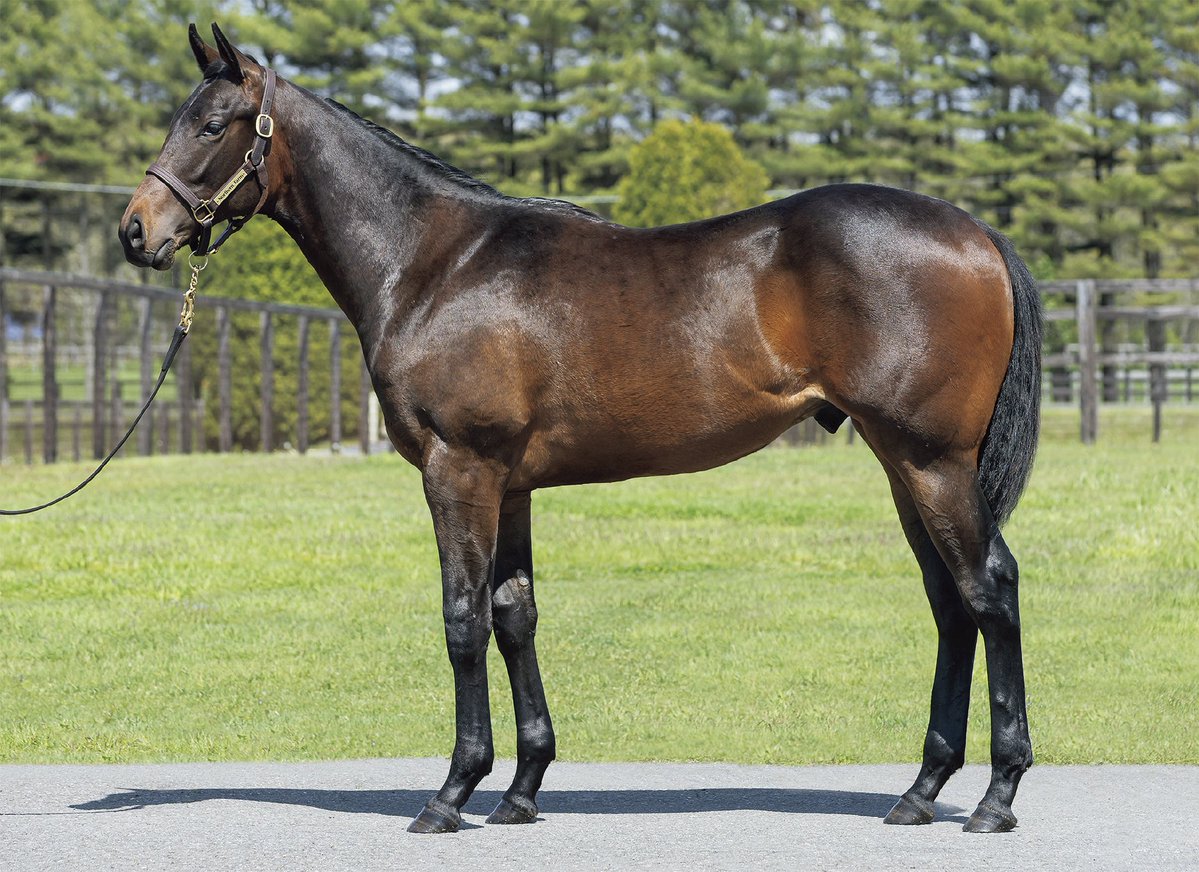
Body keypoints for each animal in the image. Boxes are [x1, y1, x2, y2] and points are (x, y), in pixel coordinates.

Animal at [120, 24, 1041, 835]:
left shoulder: (459, 471)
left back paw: (997, 797)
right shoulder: (510, 485)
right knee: (949, 603)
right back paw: (920, 791)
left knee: (988, 590)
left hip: (931, 462)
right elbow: (514, 616)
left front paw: (451, 793)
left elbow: (461, 619)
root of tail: (975, 232)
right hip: (902, 465)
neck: (432, 264)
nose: (136, 230)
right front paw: (521, 788)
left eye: (211, 124)